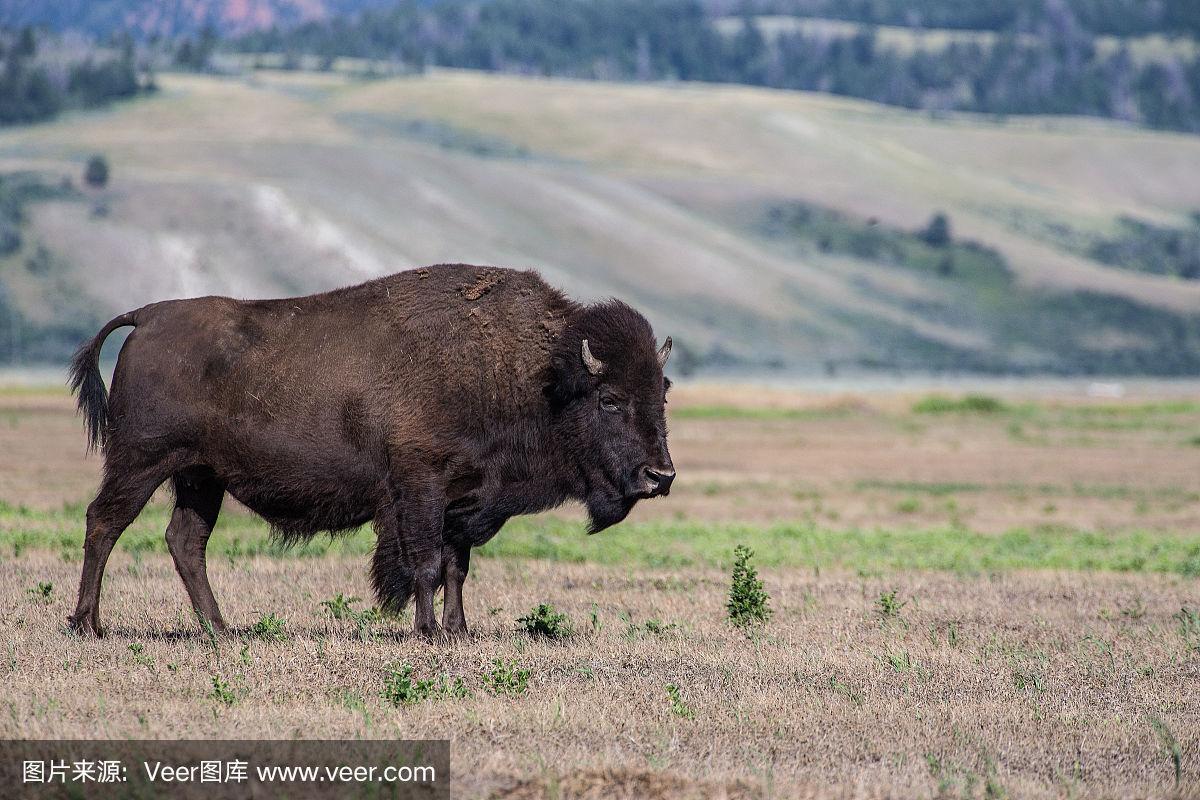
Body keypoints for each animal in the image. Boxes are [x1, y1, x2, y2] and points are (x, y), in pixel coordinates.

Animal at [65, 266, 676, 642]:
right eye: (610, 399)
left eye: (662, 392)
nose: (660, 475)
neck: (537, 376)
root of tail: (147, 315)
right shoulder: (420, 491)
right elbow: (425, 563)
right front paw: (428, 633)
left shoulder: (463, 501)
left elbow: (457, 567)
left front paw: (458, 631)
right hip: (140, 462)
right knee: (105, 523)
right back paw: (88, 625)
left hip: (200, 477)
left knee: (185, 541)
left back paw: (220, 630)